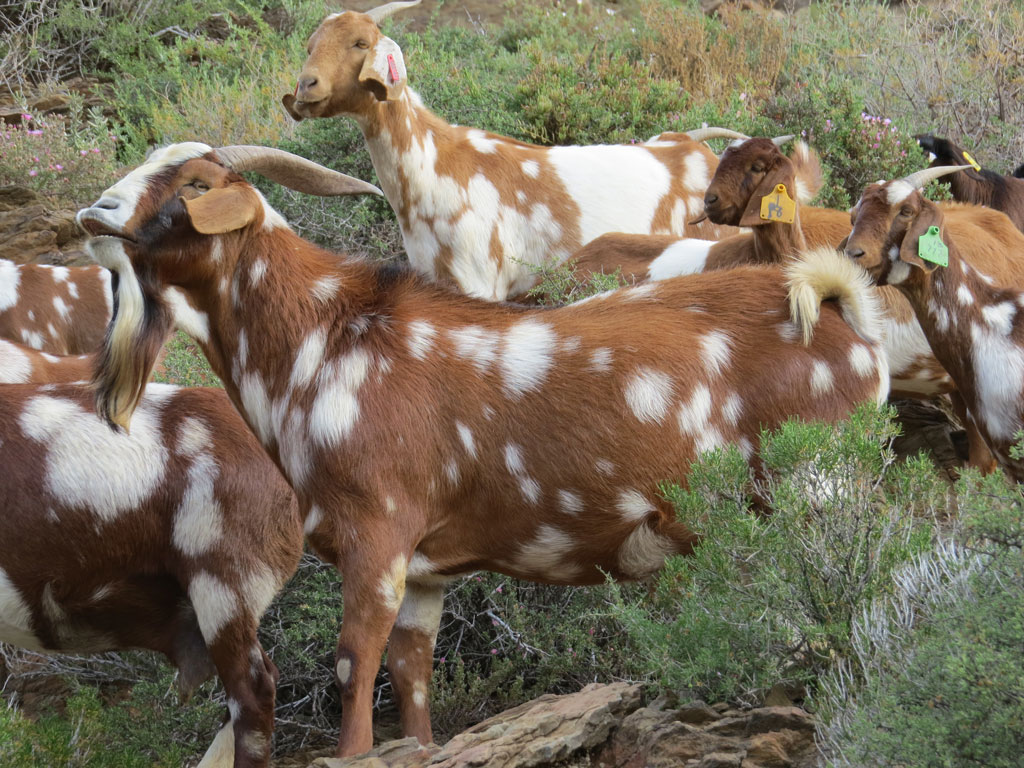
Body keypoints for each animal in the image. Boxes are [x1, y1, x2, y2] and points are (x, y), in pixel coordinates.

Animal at [78, 141, 889, 757]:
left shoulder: (378, 533)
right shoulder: (427, 568)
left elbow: (353, 664)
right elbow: (411, 673)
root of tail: (841, 314)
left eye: (195, 183)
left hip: (818, 493)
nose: (97, 212)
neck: (325, 340)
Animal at [282, 0, 747, 301]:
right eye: (309, 45)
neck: (435, 167)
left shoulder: (479, 281)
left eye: (361, 43)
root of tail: (701, 153)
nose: (306, 86)